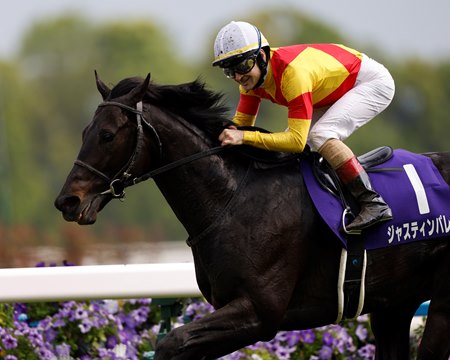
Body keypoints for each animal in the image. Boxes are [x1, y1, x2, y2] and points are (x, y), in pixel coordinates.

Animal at [53, 74, 450, 360]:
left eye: (107, 135)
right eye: (85, 132)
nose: (67, 201)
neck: (232, 199)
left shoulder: (259, 312)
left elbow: (171, 343)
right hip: (393, 304)